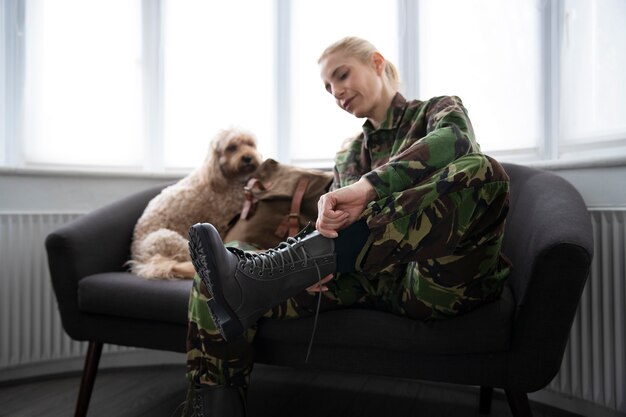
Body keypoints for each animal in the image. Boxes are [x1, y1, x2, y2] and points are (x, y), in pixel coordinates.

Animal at [129, 128, 260, 280]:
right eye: (232, 147)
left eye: (250, 144)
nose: (248, 158)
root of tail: (140, 258)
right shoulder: (222, 221)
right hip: (167, 238)